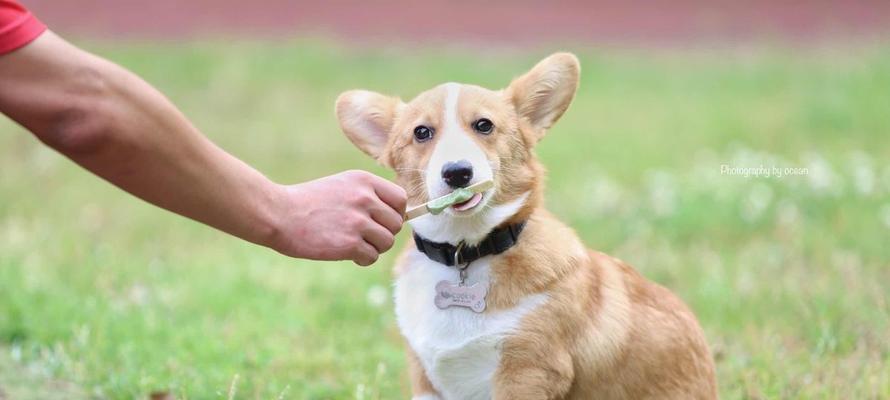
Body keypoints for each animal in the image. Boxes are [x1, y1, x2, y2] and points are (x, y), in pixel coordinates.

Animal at [332, 53, 716, 400]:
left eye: (484, 125)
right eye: (422, 133)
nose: (457, 173)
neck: (465, 252)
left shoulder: (528, 371)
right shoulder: (426, 380)